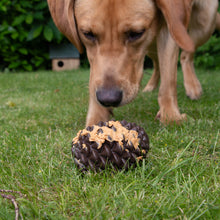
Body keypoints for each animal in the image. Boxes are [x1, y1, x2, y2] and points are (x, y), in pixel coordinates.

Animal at [47, 0, 218, 126]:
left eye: (136, 33)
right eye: (88, 34)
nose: (108, 99)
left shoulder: (171, 25)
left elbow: (168, 78)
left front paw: (171, 116)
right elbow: (94, 78)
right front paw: (96, 117)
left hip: (205, 20)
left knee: (186, 54)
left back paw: (192, 86)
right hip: (151, 45)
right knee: (157, 63)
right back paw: (150, 87)